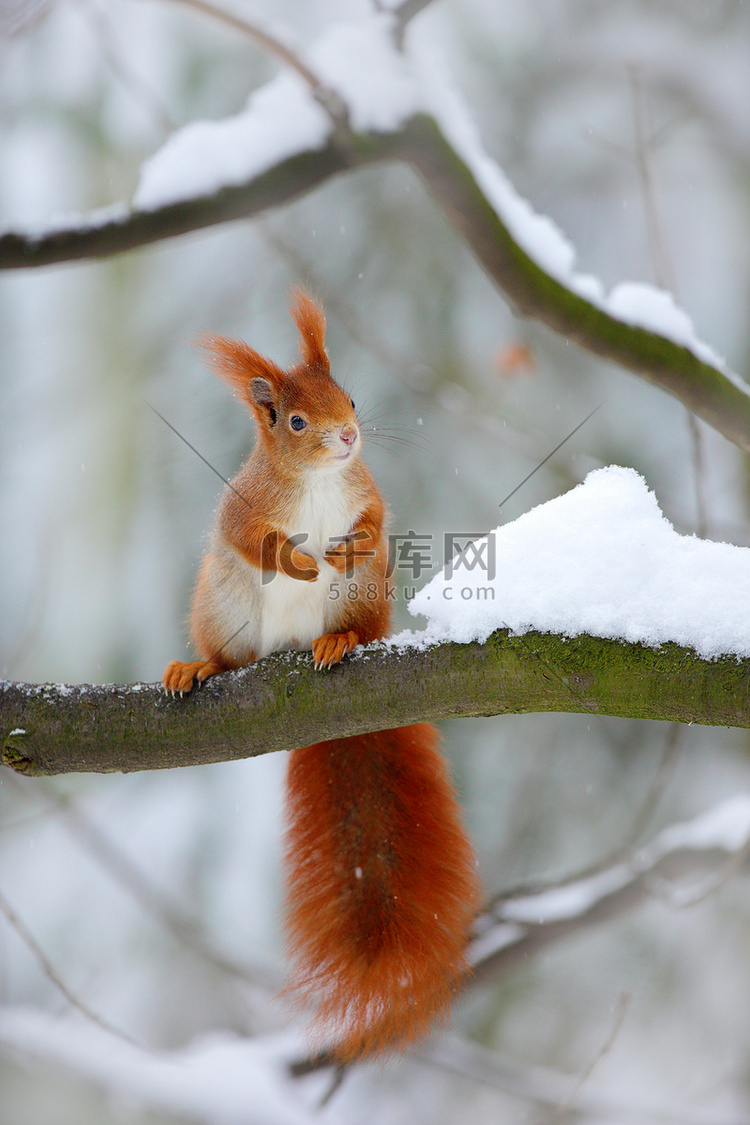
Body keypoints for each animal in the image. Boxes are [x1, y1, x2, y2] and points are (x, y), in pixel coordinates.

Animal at [163, 292, 481, 1062]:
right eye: (296, 421)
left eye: (353, 397)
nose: (348, 436)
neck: (316, 483)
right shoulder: (242, 507)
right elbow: (255, 538)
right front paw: (302, 560)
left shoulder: (366, 491)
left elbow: (374, 516)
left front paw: (346, 542)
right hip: (224, 606)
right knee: (228, 656)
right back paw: (198, 665)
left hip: (365, 597)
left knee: (359, 626)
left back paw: (338, 640)